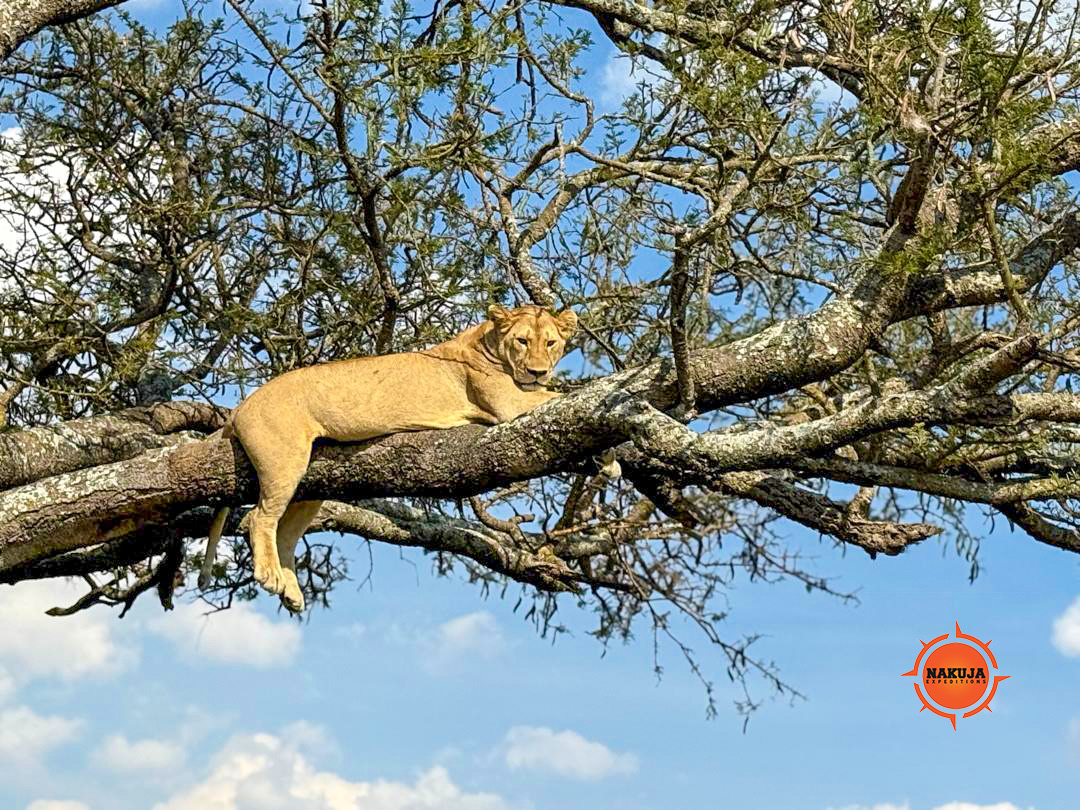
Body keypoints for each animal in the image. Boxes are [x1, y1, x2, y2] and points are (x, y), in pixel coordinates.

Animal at [199, 304, 578, 612]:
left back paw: (291, 592)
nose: (538, 372)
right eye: (523, 341)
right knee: (260, 518)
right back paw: (269, 575)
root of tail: (243, 404)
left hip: (309, 483)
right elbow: (559, 396)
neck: (488, 341)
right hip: (284, 459)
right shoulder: (508, 403)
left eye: (550, 343)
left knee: (285, 534)